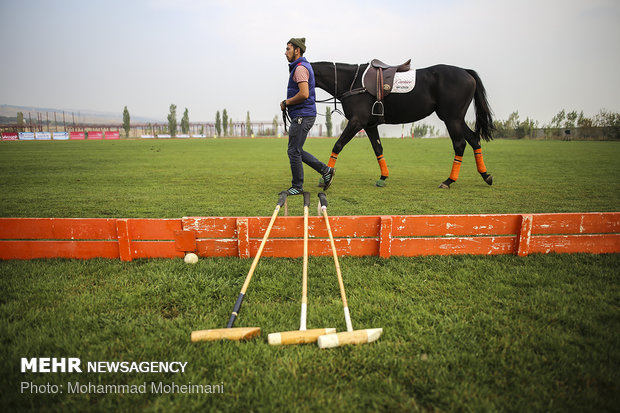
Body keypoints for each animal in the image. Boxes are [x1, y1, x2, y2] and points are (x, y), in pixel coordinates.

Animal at [312, 60, 496, 187]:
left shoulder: (357, 121)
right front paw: (383, 177)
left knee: (460, 145)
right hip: (456, 119)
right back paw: (485, 175)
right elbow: (378, 149)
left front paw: (325, 178)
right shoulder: (370, 125)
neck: (353, 82)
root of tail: (466, 72)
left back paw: (449, 181)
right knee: (474, 140)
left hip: (452, 119)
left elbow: (338, 145)